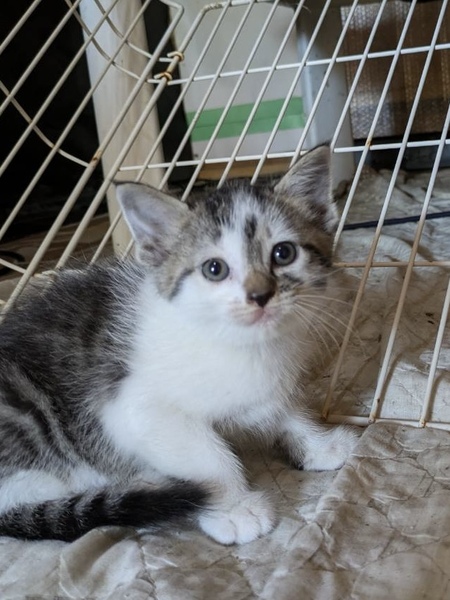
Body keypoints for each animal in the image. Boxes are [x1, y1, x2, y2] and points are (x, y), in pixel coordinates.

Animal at [0, 145, 359, 545]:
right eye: (214, 269)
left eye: (283, 253)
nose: (260, 296)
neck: (243, 346)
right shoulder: (130, 410)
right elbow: (208, 457)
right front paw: (233, 507)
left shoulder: (268, 386)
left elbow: (284, 409)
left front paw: (318, 445)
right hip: (25, 410)